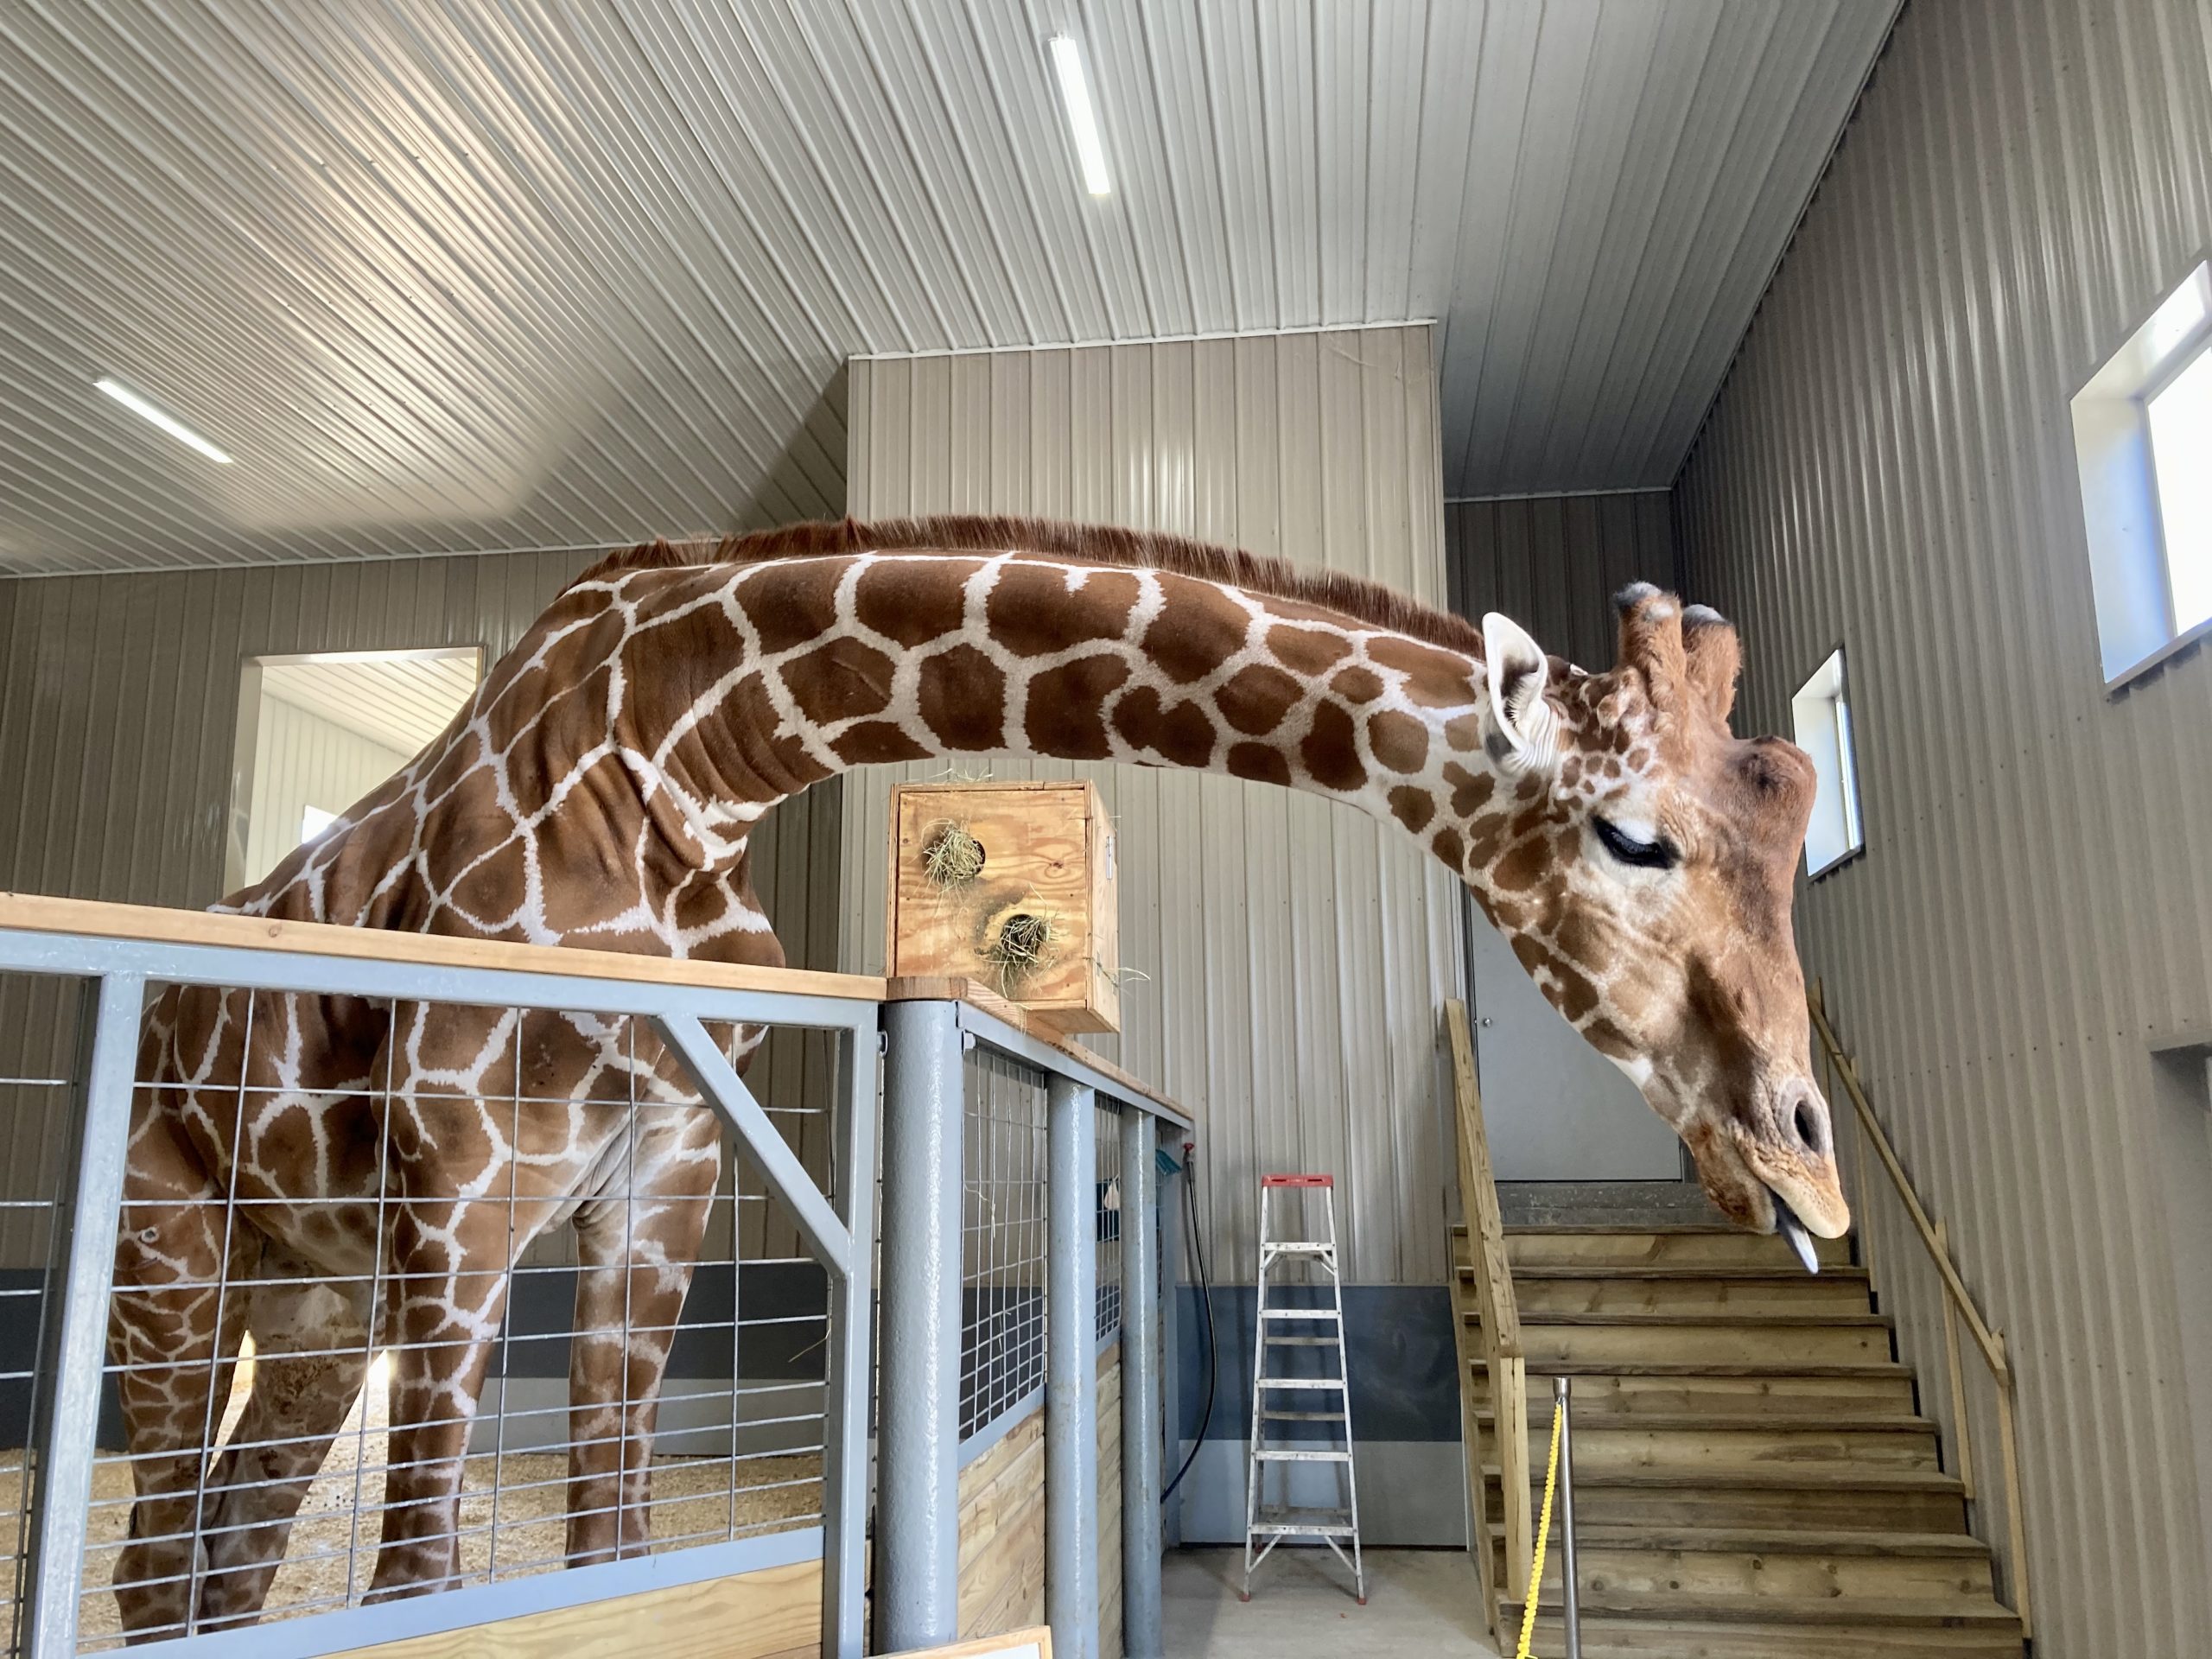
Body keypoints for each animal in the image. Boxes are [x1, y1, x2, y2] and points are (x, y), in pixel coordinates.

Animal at [104, 518, 1840, 1637]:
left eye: (1801, 827)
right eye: (1632, 836)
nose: (1807, 1166)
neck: (687, 759)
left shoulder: (662, 1188)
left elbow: (613, 1544)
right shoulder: (464, 1188)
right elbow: (421, 1584)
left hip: (316, 1305)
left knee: (219, 1563)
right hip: (173, 1256)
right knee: (155, 1557)